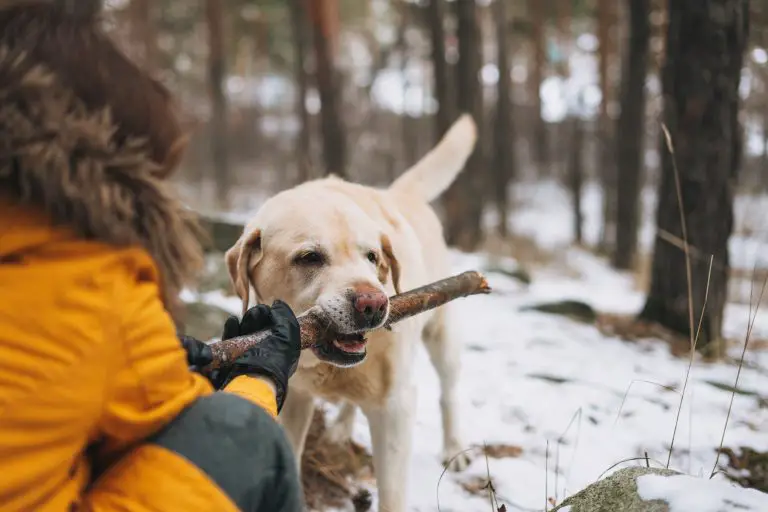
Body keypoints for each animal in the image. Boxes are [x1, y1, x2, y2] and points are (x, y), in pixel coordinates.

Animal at [224, 114, 474, 510]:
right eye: (309, 257)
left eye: (373, 257)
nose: (374, 304)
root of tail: (398, 193)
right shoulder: (294, 398)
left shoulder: (395, 409)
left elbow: (392, 495)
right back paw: (341, 428)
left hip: (442, 335)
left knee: (448, 390)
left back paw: (453, 448)